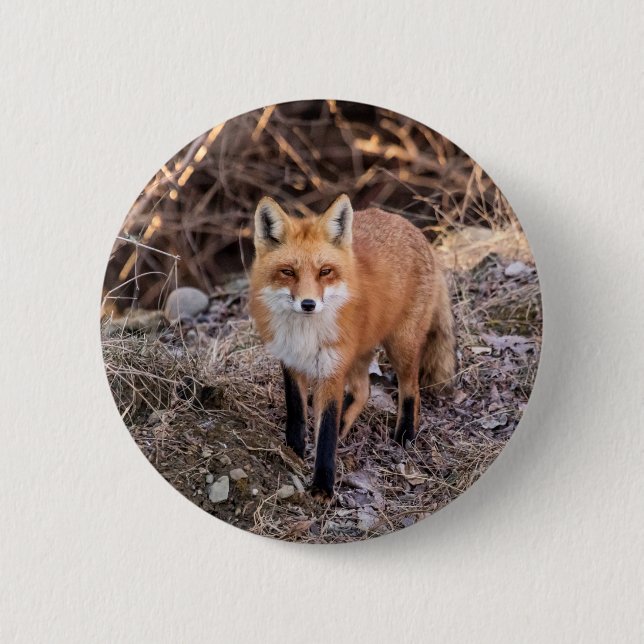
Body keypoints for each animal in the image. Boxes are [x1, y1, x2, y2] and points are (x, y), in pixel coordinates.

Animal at [249, 194, 456, 501]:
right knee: (363, 391)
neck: (305, 334)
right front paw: (294, 449)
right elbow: (297, 411)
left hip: (400, 345)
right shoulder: (290, 360)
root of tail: (411, 227)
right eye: (288, 272)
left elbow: (326, 432)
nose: (308, 304)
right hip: (358, 352)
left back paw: (405, 436)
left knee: (411, 389)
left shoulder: (332, 370)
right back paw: (347, 425)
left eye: (325, 272)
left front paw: (322, 487)